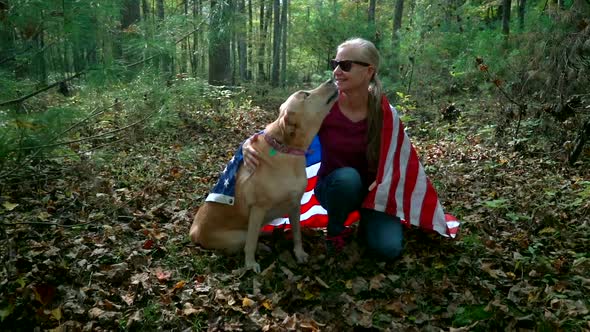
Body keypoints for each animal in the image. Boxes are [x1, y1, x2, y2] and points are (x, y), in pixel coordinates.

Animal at [190, 79, 338, 272]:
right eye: (305, 94)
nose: (331, 79)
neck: (288, 151)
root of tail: (193, 233)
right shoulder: (258, 209)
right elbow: (251, 243)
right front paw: (250, 264)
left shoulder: (295, 205)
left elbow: (297, 234)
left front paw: (299, 253)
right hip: (237, 235)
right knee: (247, 241)